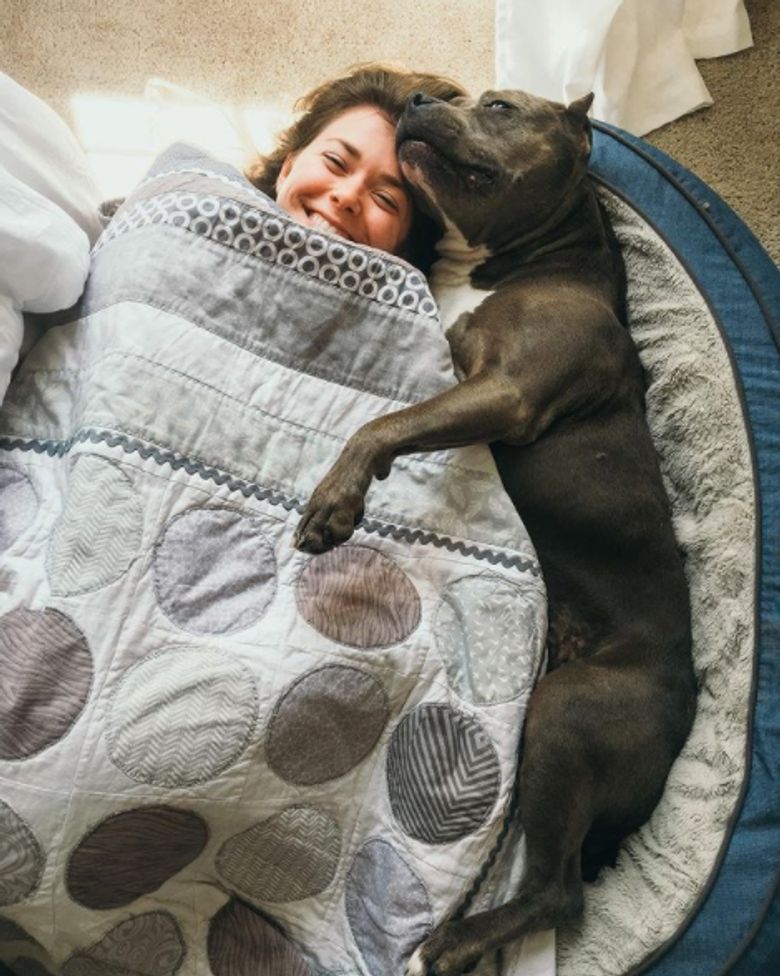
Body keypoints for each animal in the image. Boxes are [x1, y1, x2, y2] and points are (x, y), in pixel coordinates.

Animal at [293, 89, 697, 975]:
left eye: (501, 106)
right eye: (454, 95)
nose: (418, 97)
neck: (520, 262)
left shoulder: (503, 390)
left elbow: (386, 421)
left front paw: (336, 500)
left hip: (567, 717)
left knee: (559, 892)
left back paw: (450, 945)